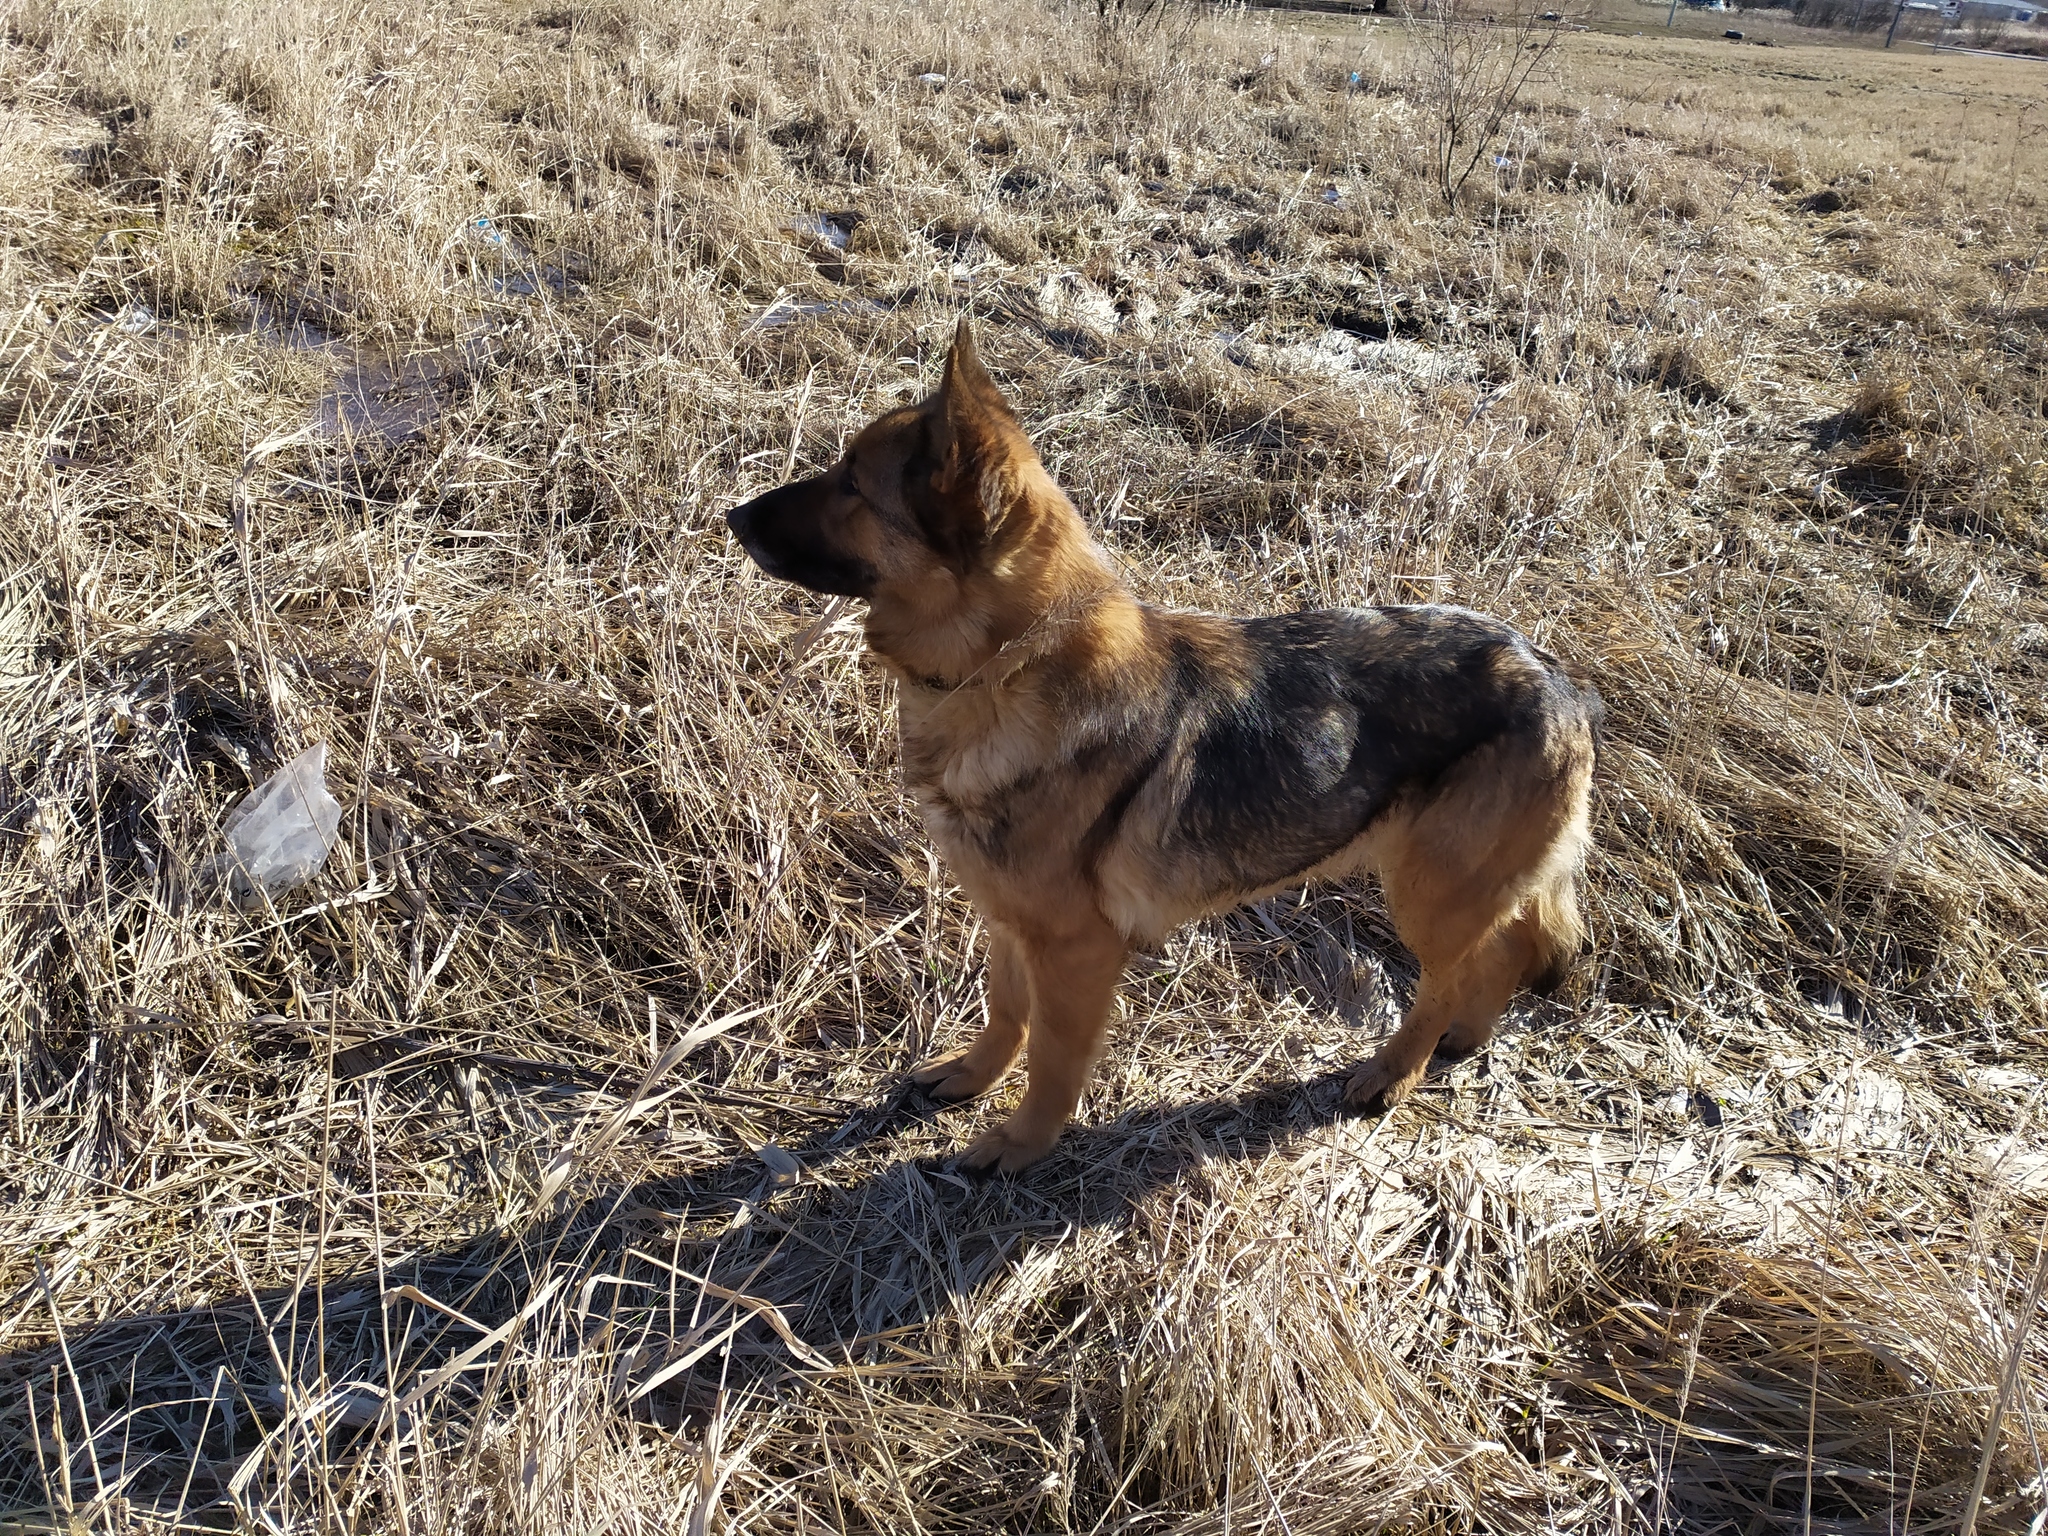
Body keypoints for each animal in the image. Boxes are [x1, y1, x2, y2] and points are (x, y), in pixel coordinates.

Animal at [729, 319, 1605, 1171]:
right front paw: (974, 1078)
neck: (1007, 665)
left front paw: (1021, 1146)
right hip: (1452, 884)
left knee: (1449, 977)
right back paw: (1467, 1038)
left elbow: (1052, 1059)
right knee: (1508, 946)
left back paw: (1394, 1072)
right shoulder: (1013, 922)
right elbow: (1006, 1013)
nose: (731, 517)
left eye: (851, 485)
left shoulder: (1077, 952)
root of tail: (1557, 678)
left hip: (1428, 893)